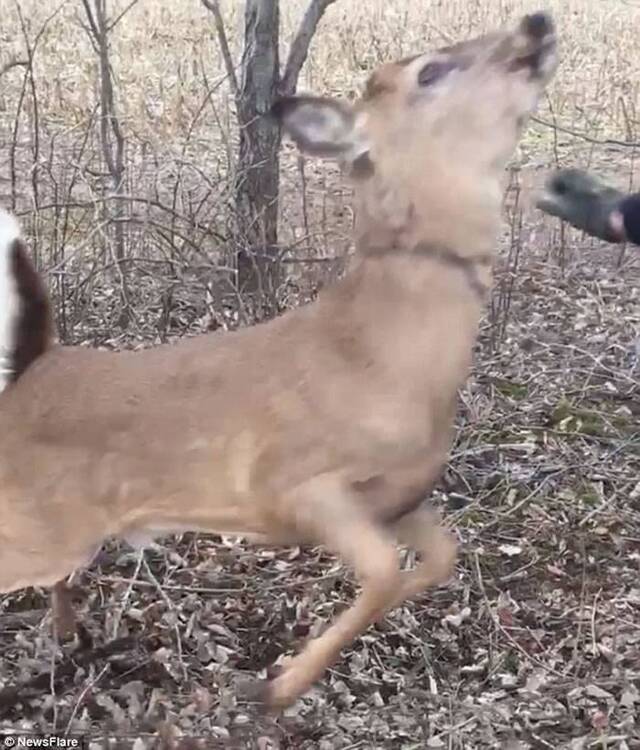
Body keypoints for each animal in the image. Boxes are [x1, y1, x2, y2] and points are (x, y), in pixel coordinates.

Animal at [0, 11, 556, 712]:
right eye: (429, 71)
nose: (536, 23)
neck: (387, 350)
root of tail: (31, 371)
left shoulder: (400, 497)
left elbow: (436, 562)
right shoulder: (295, 481)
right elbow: (382, 573)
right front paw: (278, 684)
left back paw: (70, 632)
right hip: (32, 526)